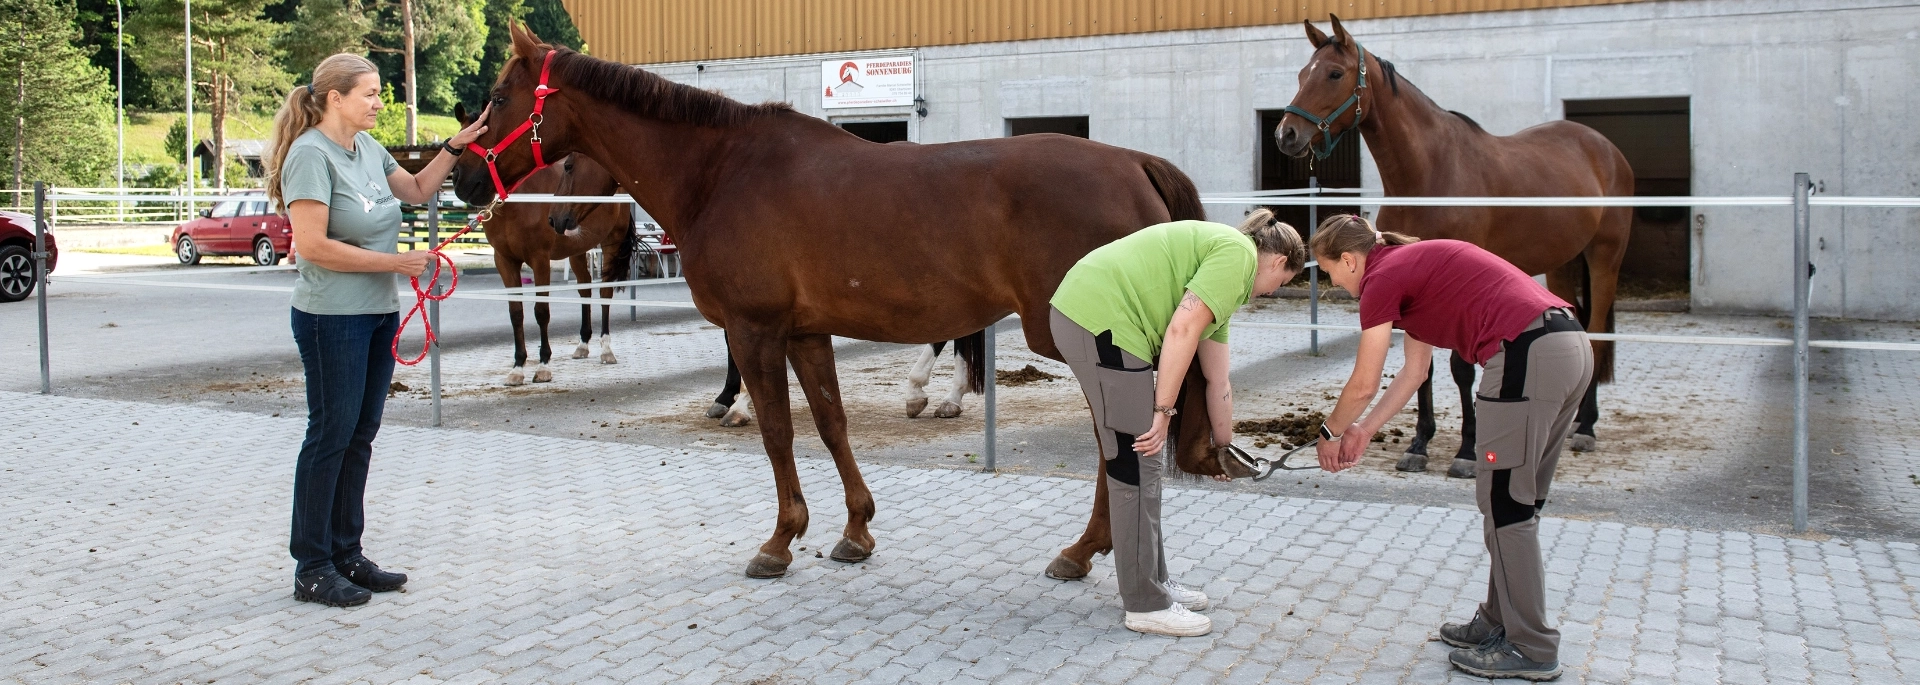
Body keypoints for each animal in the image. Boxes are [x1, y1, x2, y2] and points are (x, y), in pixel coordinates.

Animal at [455, 24, 1245, 580]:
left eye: (498, 97)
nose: (462, 176)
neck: (721, 170)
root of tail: (1133, 163)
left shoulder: (755, 331)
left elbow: (778, 433)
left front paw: (780, 540)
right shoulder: (805, 334)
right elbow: (832, 426)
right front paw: (855, 531)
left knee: (1118, 436)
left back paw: (1084, 551)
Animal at [1275, 16, 1632, 473]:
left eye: (1334, 74)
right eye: (1303, 74)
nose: (1286, 134)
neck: (1429, 172)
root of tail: (1605, 148)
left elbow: (1461, 367)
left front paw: (1466, 450)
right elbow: (1422, 370)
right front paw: (1419, 444)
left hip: (1605, 257)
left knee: (1598, 333)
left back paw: (1586, 427)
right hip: (1562, 263)